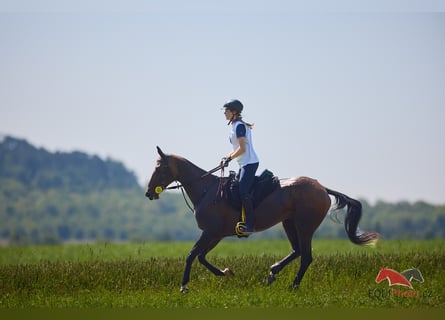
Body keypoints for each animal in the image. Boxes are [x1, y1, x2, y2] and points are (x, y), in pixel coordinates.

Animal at [145, 146, 378, 292]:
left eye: (159, 168)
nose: (148, 193)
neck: (206, 190)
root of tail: (321, 188)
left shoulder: (210, 232)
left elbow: (192, 255)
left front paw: (184, 286)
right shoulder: (216, 234)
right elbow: (201, 256)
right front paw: (226, 273)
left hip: (304, 226)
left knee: (306, 257)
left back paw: (292, 285)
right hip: (289, 223)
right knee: (297, 251)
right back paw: (272, 273)